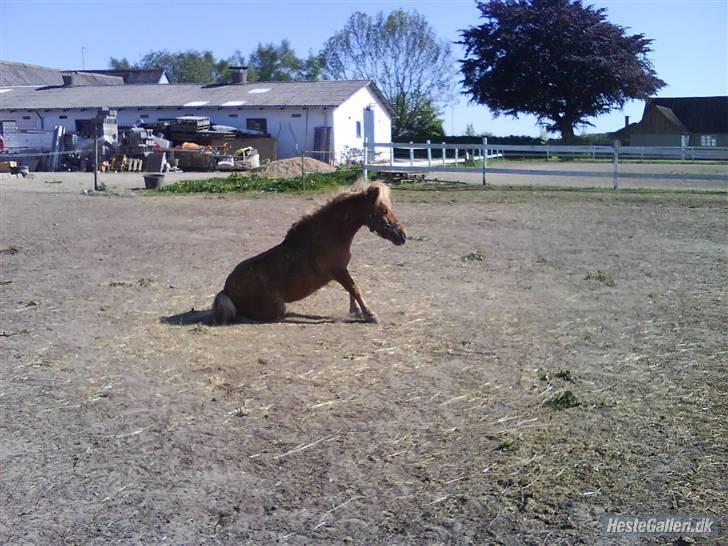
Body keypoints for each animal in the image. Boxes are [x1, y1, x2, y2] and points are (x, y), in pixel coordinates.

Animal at [210, 181, 406, 320]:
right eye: (384, 210)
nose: (402, 236)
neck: (328, 236)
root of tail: (226, 290)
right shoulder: (338, 271)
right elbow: (355, 288)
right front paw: (370, 314)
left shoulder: (343, 270)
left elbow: (352, 289)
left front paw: (356, 311)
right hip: (276, 307)